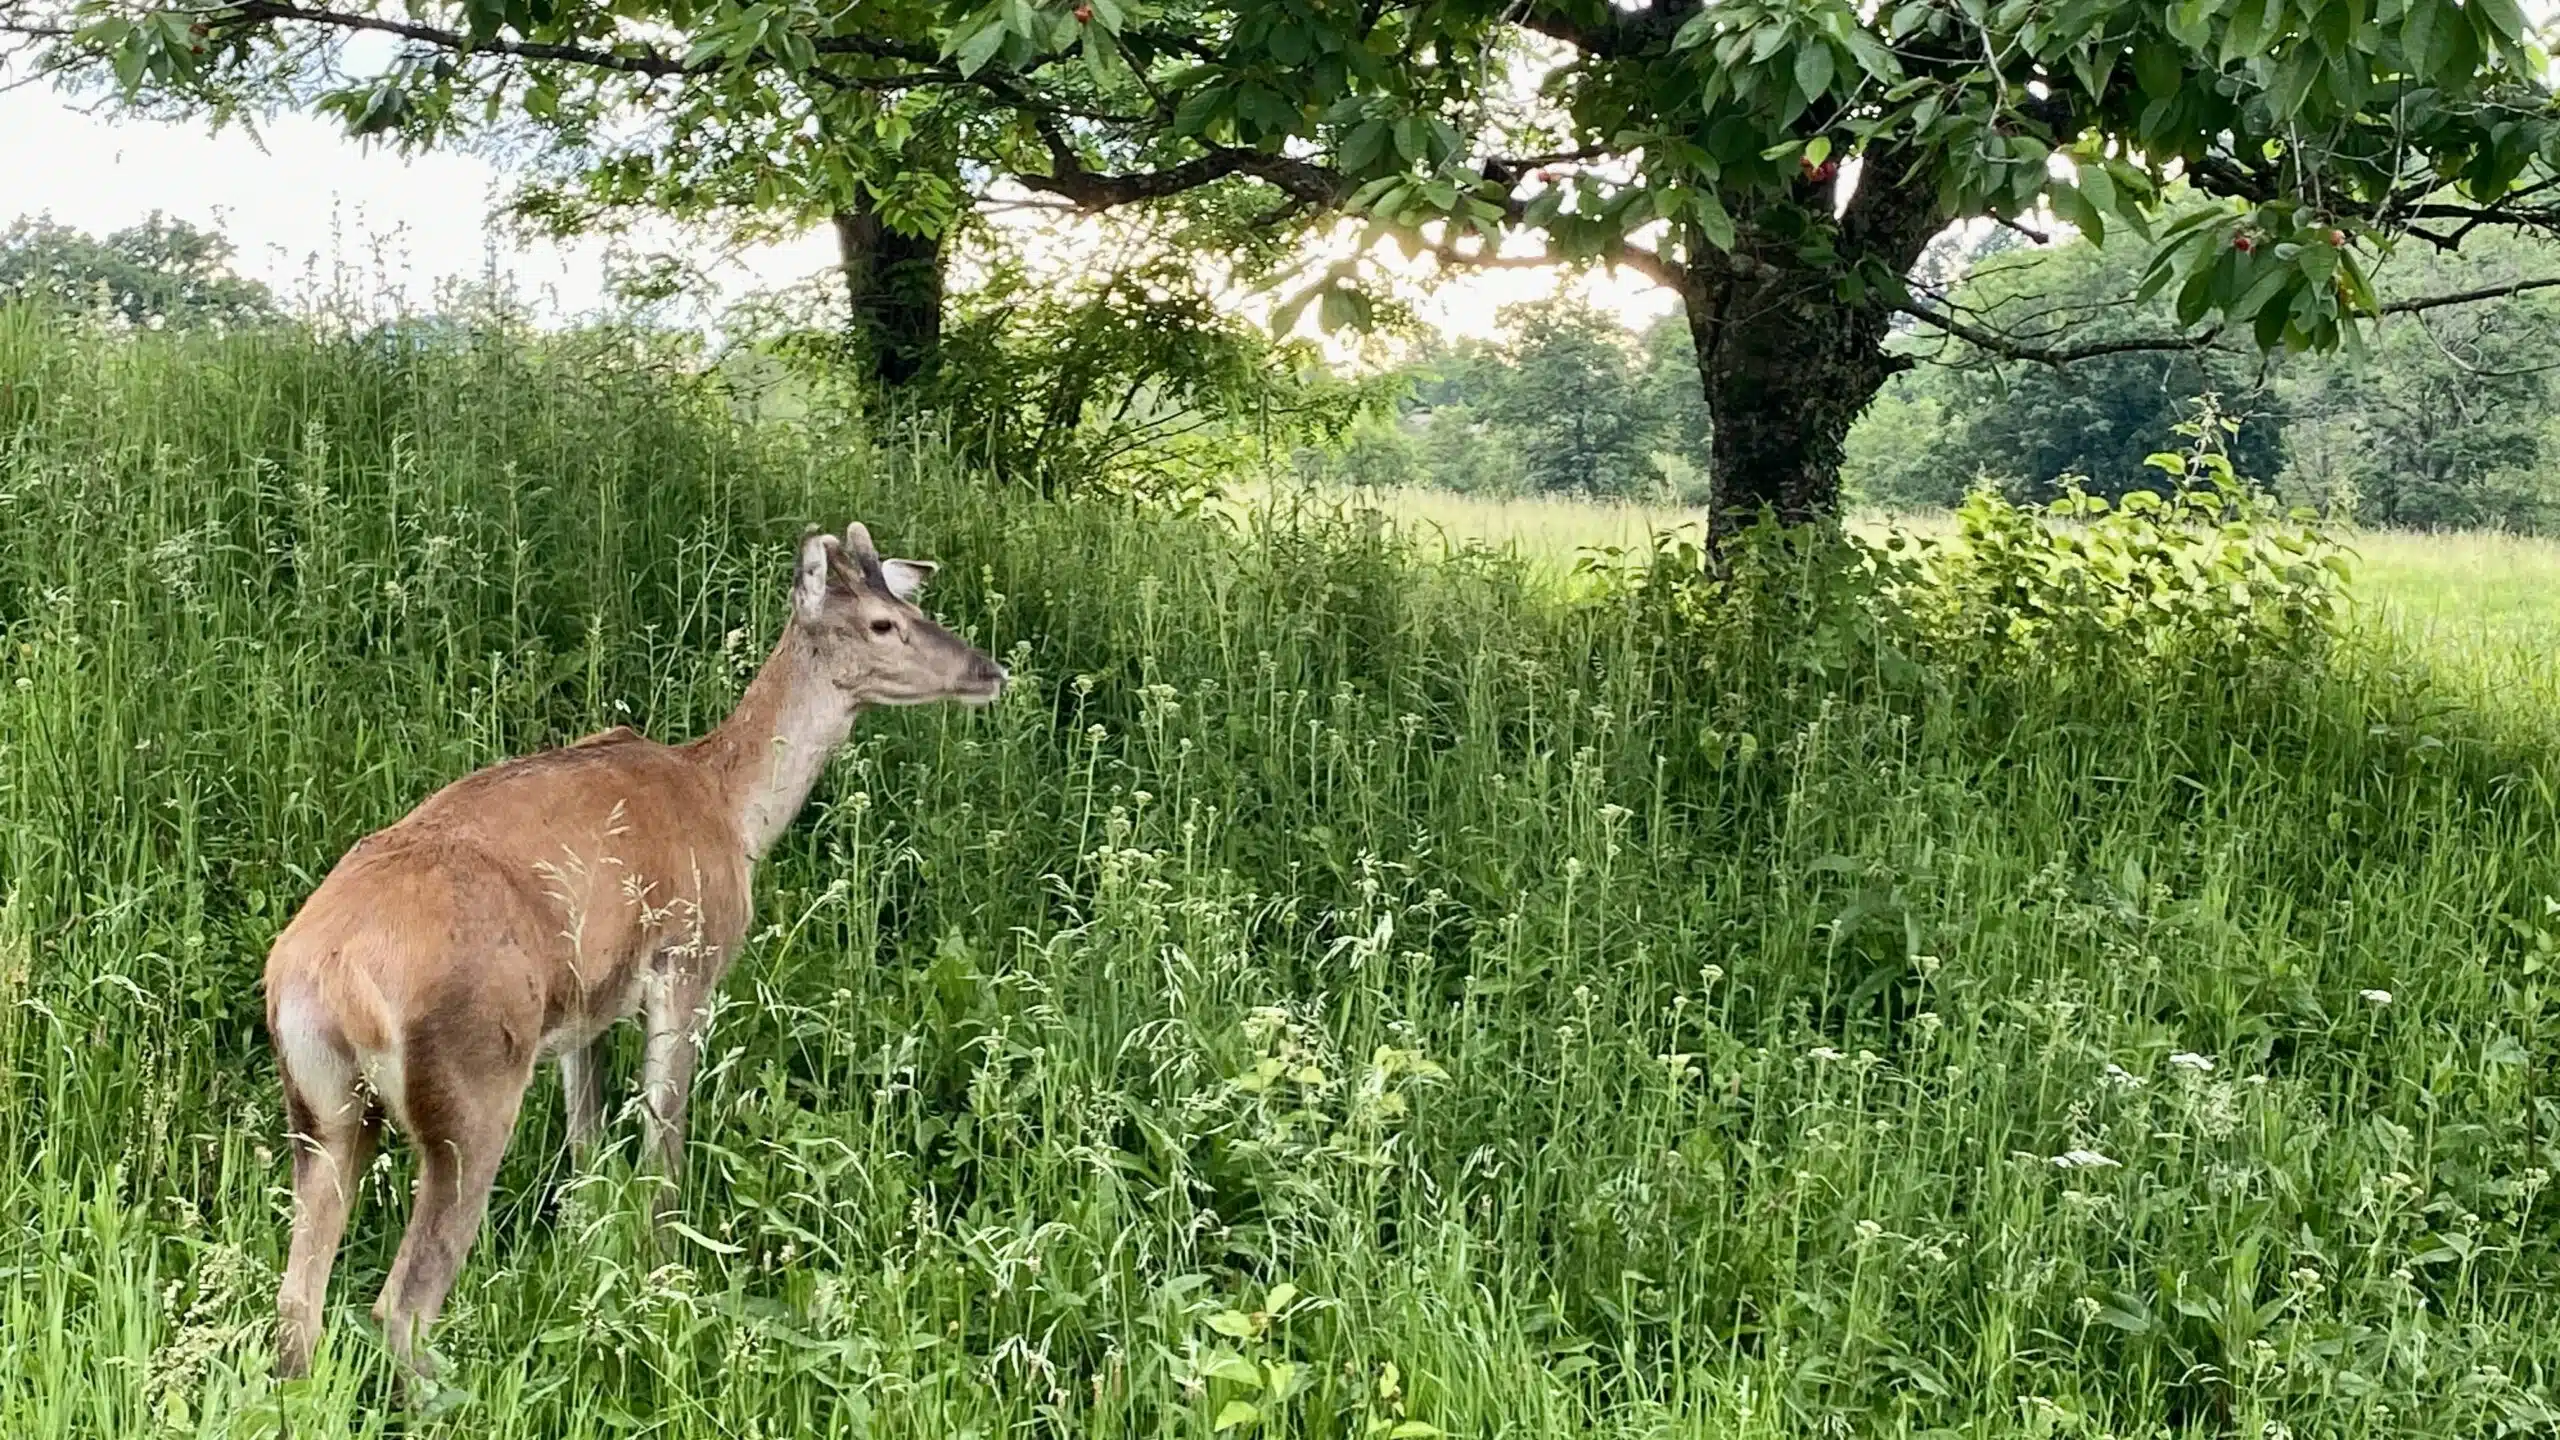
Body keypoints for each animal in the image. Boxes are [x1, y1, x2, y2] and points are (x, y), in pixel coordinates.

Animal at [264, 520, 1003, 1373]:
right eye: (884, 624)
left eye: (914, 607)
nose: (989, 670)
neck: (730, 810)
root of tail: (327, 979)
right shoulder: (687, 961)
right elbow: (662, 1145)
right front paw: (665, 1278)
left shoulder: (583, 1007)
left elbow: (587, 1148)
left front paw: (593, 1260)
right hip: (472, 1081)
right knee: (402, 1304)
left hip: (320, 1099)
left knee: (299, 1299)